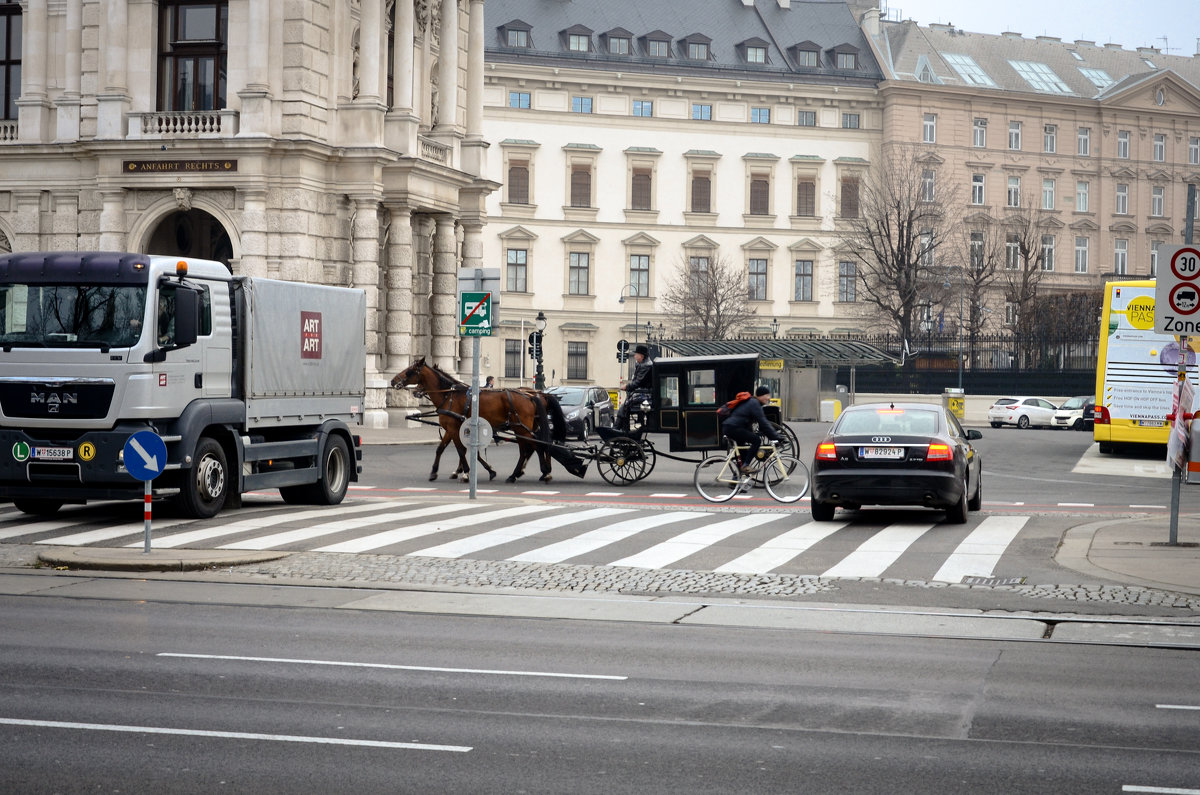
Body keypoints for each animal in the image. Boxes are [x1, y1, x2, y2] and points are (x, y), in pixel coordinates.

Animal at [388, 357, 566, 482]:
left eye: (410, 370)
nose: (393, 380)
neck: (449, 395)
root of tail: (533, 395)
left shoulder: (454, 429)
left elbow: (461, 450)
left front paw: (466, 473)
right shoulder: (452, 429)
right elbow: (442, 448)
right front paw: (435, 471)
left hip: (521, 428)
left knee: (533, 447)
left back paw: (532, 473)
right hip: (525, 428)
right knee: (533, 447)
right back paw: (526, 472)